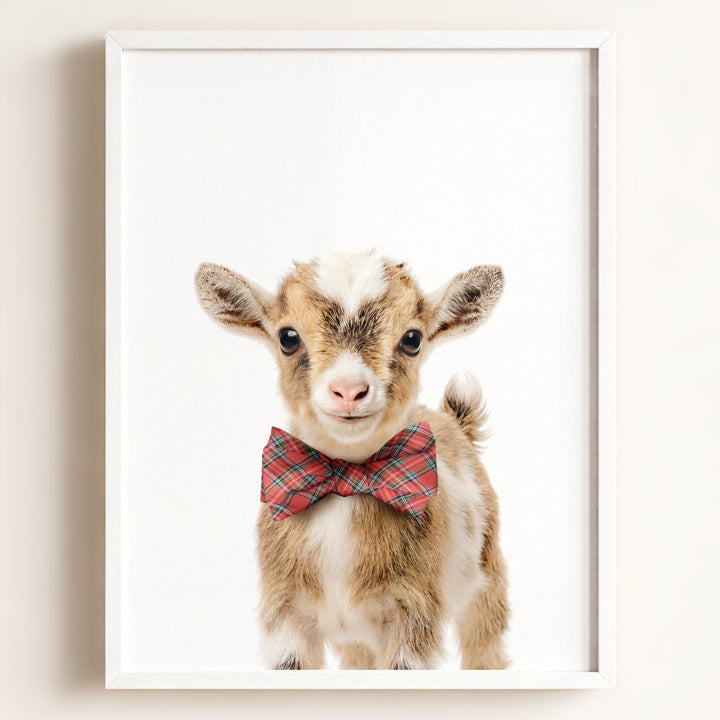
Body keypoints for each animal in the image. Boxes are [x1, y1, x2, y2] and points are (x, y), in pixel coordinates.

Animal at [195, 250, 509, 670]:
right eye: (288, 337)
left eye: (412, 339)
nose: (348, 390)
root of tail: (455, 420)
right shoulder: (285, 615)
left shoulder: (413, 613)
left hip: (488, 577)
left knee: (485, 643)